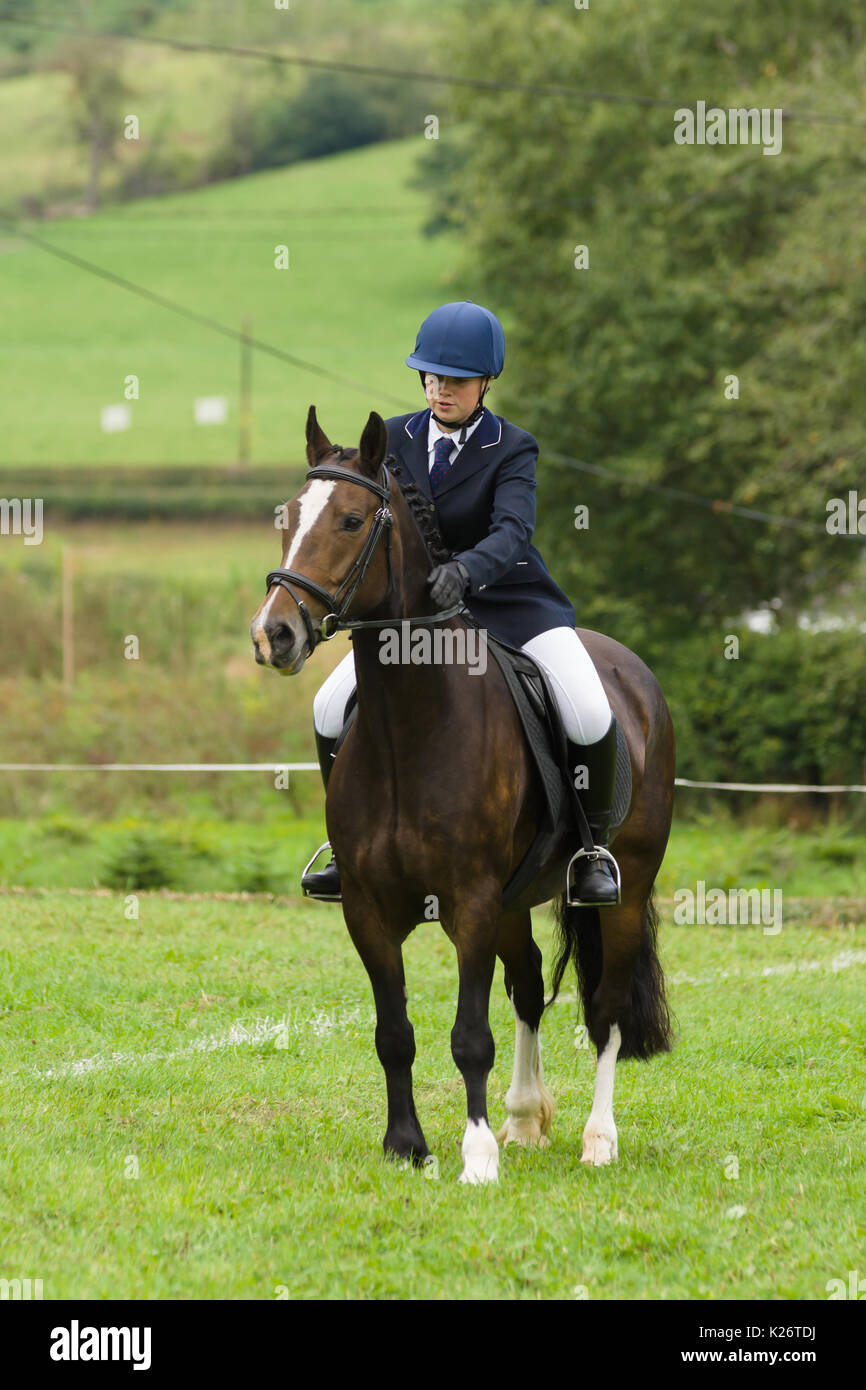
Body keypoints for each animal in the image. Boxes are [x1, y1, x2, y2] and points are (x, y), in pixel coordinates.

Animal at [250, 405, 678, 1184]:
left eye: (352, 520)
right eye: (290, 515)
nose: (275, 635)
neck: (409, 728)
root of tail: (630, 669)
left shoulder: (470, 901)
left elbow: (470, 1034)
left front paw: (476, 1157)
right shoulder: (368, 908)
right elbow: (395, 1032)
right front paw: (406, 1146)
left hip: (623, 889)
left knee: (604, 1009)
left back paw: (597, 1140)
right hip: (514, 899)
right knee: (531, 987)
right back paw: (524, 1120)